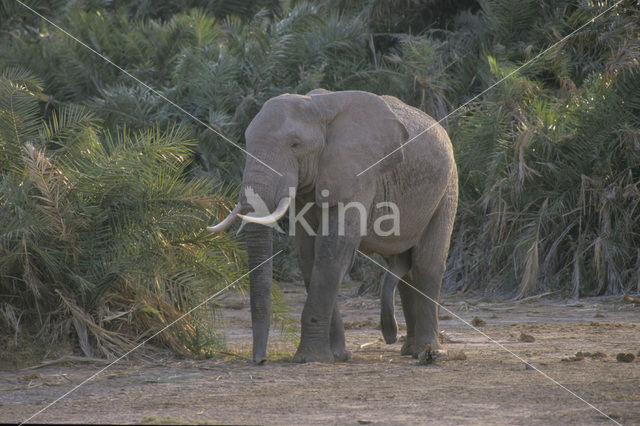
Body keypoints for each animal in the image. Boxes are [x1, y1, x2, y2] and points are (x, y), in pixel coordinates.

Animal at [208, 89, 458, 362]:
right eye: (245, 142)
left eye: (295, 144)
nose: (260, 360)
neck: (318, 108)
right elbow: (308, 253)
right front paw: (336, 355)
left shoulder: (358, 173)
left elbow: (332, 251)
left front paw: (310, 358)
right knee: (408, 271)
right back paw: (411, 350)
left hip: (448, 188)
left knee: (426, 264)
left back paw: (428, 351)